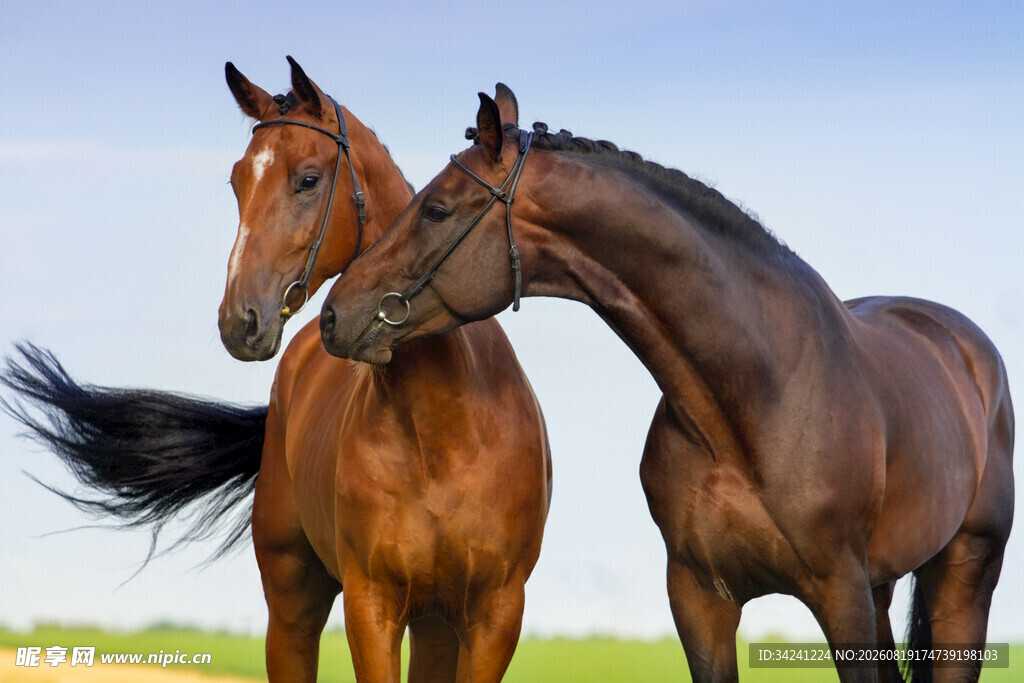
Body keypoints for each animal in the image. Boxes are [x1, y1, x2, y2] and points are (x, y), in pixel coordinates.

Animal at [1, 63, 552, 682]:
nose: (239, 321)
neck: (444, 427)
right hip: (293, 608)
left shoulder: (494, 616)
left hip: (434, 626)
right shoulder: (372, 605)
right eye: (238, 181)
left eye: (308, 180)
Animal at [317, 85, 1014, 683]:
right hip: (884, 586)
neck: (755, 403)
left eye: (436, 209)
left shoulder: (841, 595)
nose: (333, 316)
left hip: (963, 576)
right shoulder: (700, 598)